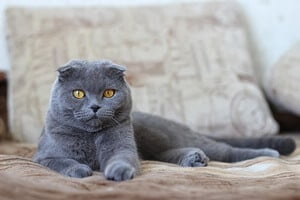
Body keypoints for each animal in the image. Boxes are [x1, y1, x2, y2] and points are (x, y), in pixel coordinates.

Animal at [32, 59, 296, 181]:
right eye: (78, 94)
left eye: (108, 93)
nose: (95, 106)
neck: (91, 139)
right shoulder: (43, 156)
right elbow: (60, 161)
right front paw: (79, 169)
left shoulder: (123, 145)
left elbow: (122, 157)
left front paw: (119, 172)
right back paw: (193, 159)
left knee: (226, 151)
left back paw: (268, 153)